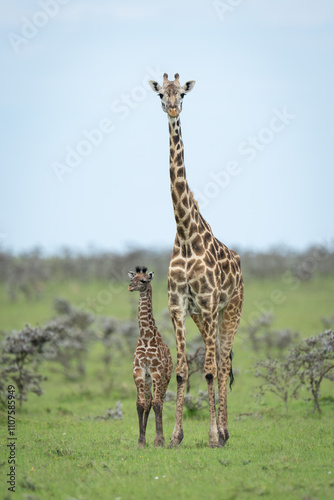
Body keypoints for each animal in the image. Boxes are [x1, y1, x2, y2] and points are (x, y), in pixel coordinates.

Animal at [126, 268, 171, 448]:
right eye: (132, 279)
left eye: (144, 281)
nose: (130, 287)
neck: (145, 337)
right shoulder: (138, 372)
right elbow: (141, 404)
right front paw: (141, 441)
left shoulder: (157, 373)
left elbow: (157, 404)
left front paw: (159, 441)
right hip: (148, 379)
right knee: (149, 401)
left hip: (165, 378)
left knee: (160, 401)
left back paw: (161, 438)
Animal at [150, 72, 244, 448]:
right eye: (160, 94)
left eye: (183, 94)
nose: (173, 108)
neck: (186, 234)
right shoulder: (178, 304)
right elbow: (181, 371)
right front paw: (175, 436)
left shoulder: (208, 302)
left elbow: (209, 370)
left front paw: (213, 436)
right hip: (204, 317)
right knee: (217, 360)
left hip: (229, 310)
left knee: (222, 362)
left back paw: (226, 431)